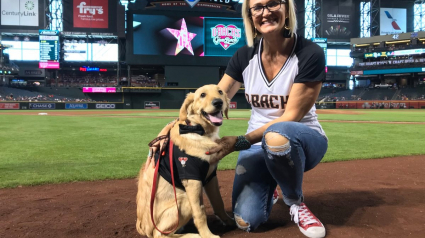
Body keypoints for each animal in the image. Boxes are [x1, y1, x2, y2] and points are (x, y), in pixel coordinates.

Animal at [136, 84, 234, 237]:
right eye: (202, 95)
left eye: (220, 91)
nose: (218, 102)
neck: (199, 129)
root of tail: (142, 226)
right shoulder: (192, 179)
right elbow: (200, 213)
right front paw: (207, 235)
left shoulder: (211, 176)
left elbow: (218, 203)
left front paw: (229, 221)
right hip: (184, 200)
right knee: (160, 234)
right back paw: (194, 235)